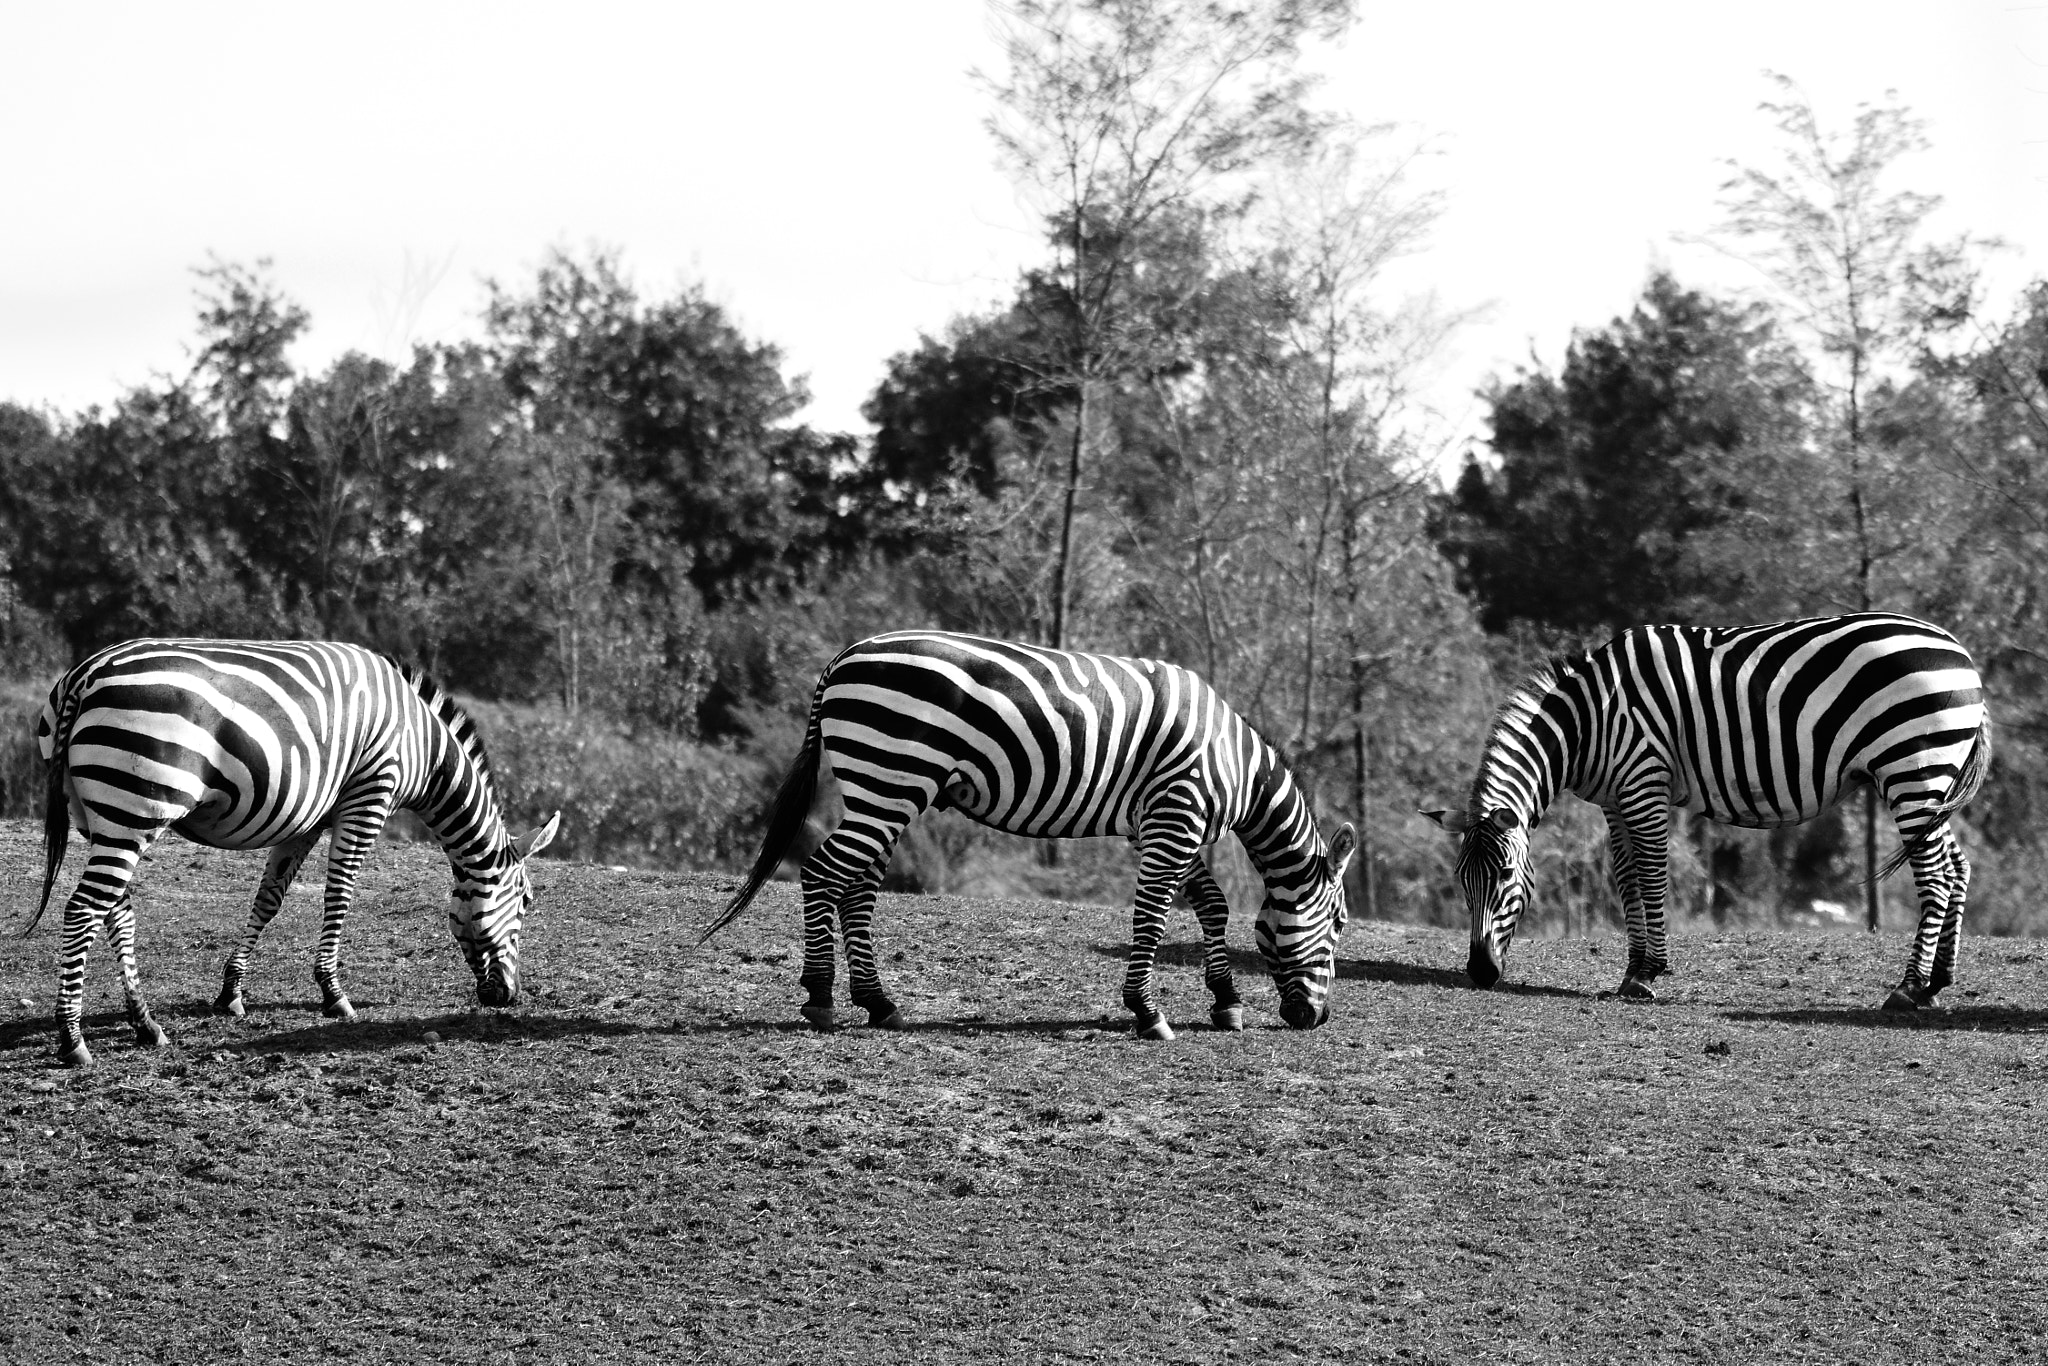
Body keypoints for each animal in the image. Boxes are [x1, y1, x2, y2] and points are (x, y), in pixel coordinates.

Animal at [31, 638, 562, 1067]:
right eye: (527, 902)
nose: (509, 997)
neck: (423, 747)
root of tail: (85, 674)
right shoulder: (368, 796)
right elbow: (339, 894)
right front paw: (333, 993)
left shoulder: (308, 817)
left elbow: (269, 899)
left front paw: (231, 991)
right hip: (134, 808)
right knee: (83, 909)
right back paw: (73, 1039)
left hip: (97, 815)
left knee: (116, 910)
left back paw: (144, 1023)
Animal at [702, 631, 1357, 1038]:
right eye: (1341, 923)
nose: (1317, 1021)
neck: (1236, 763)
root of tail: (843, 657)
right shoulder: (1176, 814)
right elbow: (1153, 915)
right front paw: (1148, 1013)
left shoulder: (1158, 824)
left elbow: (1213, 905)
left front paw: (1226, 1001)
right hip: (891, 777)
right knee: (824, 873)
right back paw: (820, 998)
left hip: (882, 787)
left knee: (856, 886)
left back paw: (878, 1002)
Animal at [1425, 612, 1989, 1007]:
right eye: (1461, 880)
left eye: (1504, 877)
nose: (1479, 974)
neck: (1589, 722)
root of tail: (1959, 651)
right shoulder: (1614, 800)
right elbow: (1626, 878)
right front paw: (1631, 970)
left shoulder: (1644, 781)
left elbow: (1652, 875)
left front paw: (1648, 972)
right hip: (1931, 781)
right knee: (1957, 867)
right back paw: (1937, 982)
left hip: (1912, 767)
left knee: (1935, 876)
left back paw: (1908, 988)